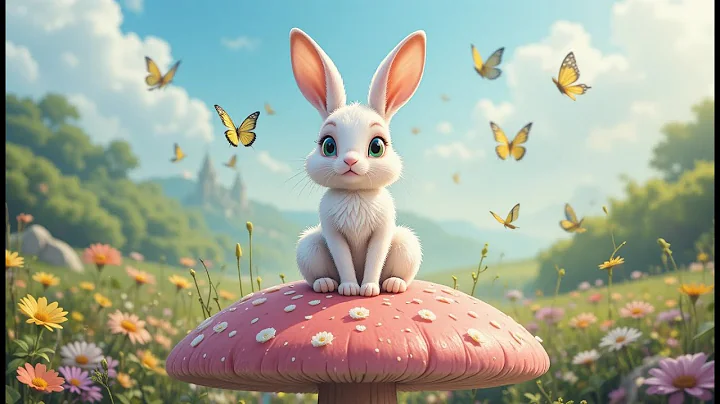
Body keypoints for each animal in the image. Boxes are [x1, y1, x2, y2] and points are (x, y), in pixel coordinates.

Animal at [290, 27, 425, 297]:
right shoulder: (331, 231)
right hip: (309, 246)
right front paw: (351, 289)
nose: (350, 160)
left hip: (407, 244)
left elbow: (376, 256)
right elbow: (342, 258)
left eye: (377, 146)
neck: (355, 195)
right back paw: (325, 284)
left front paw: (370, 289)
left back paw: (394, 284)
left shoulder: (383, 229)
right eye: (328, 145)